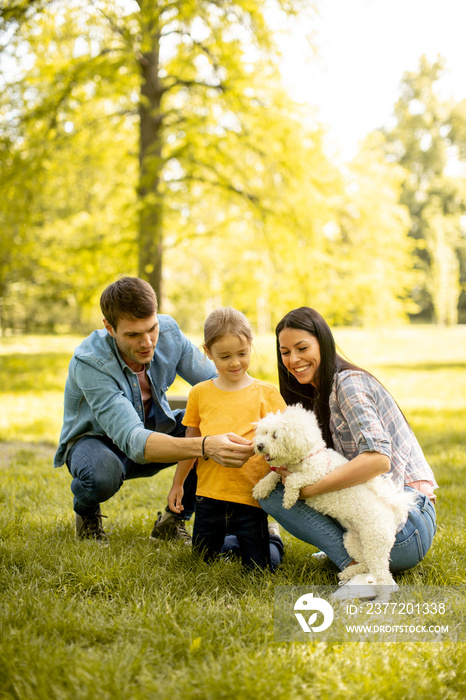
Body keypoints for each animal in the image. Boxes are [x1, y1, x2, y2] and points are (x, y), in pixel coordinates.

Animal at [251, 404, 416, 592]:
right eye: (264, 432)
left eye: (275, 435)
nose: (259, 446)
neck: (307, 455)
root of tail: (393, 514)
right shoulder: (287, 469)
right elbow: (274, 474)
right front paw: (261, 488)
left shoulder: (315, 473)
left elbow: (293, 480)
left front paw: (289, 498)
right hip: (353, 542)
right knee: (364, 564)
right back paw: (348, 573)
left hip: (376, 543)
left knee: (382, 574)